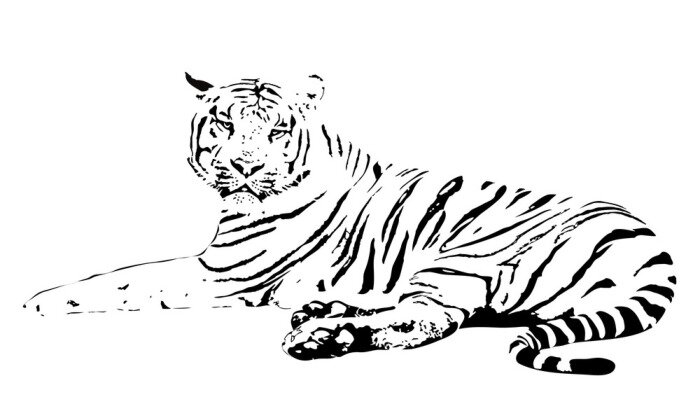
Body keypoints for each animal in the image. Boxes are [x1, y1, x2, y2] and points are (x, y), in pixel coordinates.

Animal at [24, 73, 677, 375]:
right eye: (224, 124)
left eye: (275, 130)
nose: (245, 166)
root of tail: (653, 246)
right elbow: (126, 275)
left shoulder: (222, 275)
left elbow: (129, 279)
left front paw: (41, 301)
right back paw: (320, 314)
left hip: (460, 258)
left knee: (429, 321)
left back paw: (323, 338)